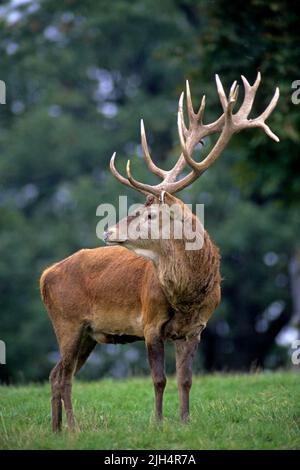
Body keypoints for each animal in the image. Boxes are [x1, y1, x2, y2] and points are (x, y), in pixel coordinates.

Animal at [39, 71, 278, 432]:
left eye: (150, 215)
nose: (108, 231)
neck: (188, 296)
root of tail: (44, 275)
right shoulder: (150, 322)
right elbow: (159, 379)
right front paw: (159, 422)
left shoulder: (196, 328)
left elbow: (185, 380)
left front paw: (185, 420)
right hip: (67, 321)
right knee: (63, 376)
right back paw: (73, 430)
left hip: (88, 334)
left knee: (56, 374)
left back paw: (55, 430)